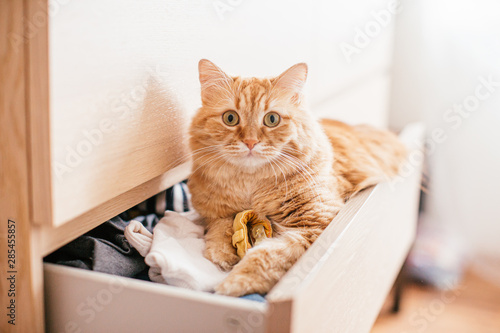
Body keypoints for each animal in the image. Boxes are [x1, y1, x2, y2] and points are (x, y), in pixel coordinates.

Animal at [188, 60, 406, 296]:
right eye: (230, 118)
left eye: (271, 119)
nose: (250, 142)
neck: (251, 187)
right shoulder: (215, 214)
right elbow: (220, 228)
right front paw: (221, 255)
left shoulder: (314, 225)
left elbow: (266, 257)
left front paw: (232, 283)